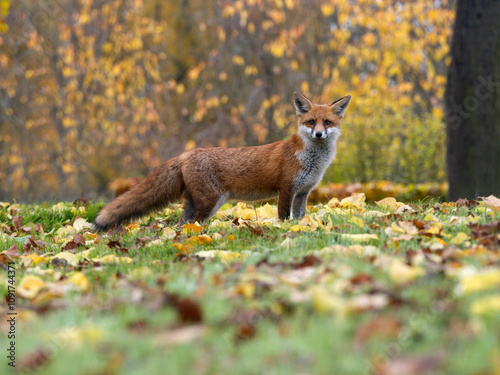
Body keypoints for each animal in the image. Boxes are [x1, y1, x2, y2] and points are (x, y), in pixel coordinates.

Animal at [94, 92, 352, 231]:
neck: (312, 161)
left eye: (327, 122)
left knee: (181, 225)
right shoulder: (286, 188)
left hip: (196, 203)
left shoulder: (303, 192)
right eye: (311, 122)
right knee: (194, 224)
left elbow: (298, 217)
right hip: (210, 202)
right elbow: (283, 218)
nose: (318, 134)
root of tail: (189, 153)